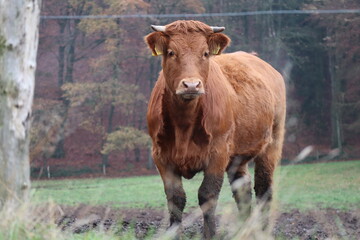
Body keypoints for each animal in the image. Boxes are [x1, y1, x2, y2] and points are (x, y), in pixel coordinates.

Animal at [145, 20, 286, 238]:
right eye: (171, 52)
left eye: (205, 53)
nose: (191, 85)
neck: (184, 124)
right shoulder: (161, 155)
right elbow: (175, 199)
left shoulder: (218, 154)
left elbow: (207, 196)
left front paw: (210, 234)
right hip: (238, 155)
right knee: (243, 189)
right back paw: (245, 230)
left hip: (272, 143)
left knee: (264, 188)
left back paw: (262, 232)